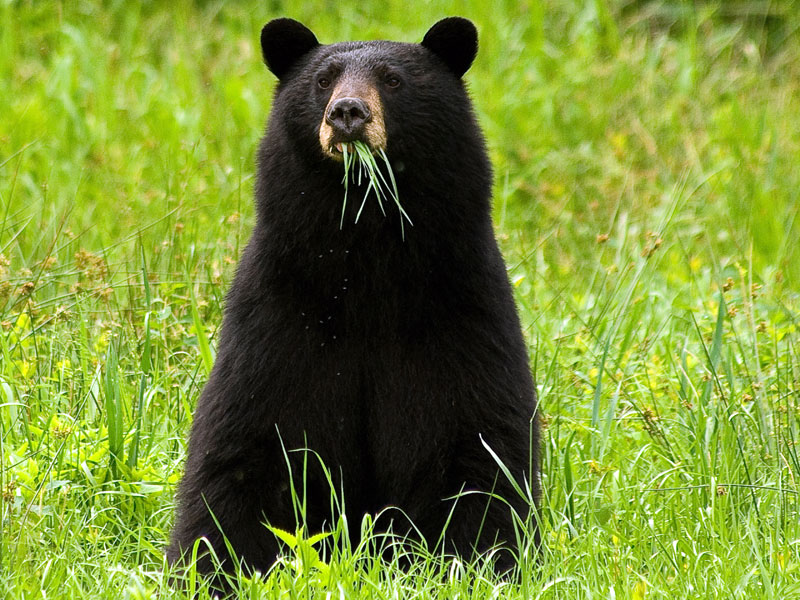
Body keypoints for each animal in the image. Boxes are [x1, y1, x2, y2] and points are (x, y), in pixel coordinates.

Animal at [170, 16, 544, 584]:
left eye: (392, 79)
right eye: (322, 80)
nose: (347, 112)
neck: (366, 265)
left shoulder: (462, 308)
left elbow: (483, 448)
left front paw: (487, 565)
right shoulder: (278, 314)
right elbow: (241, 448)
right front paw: (212, 568)